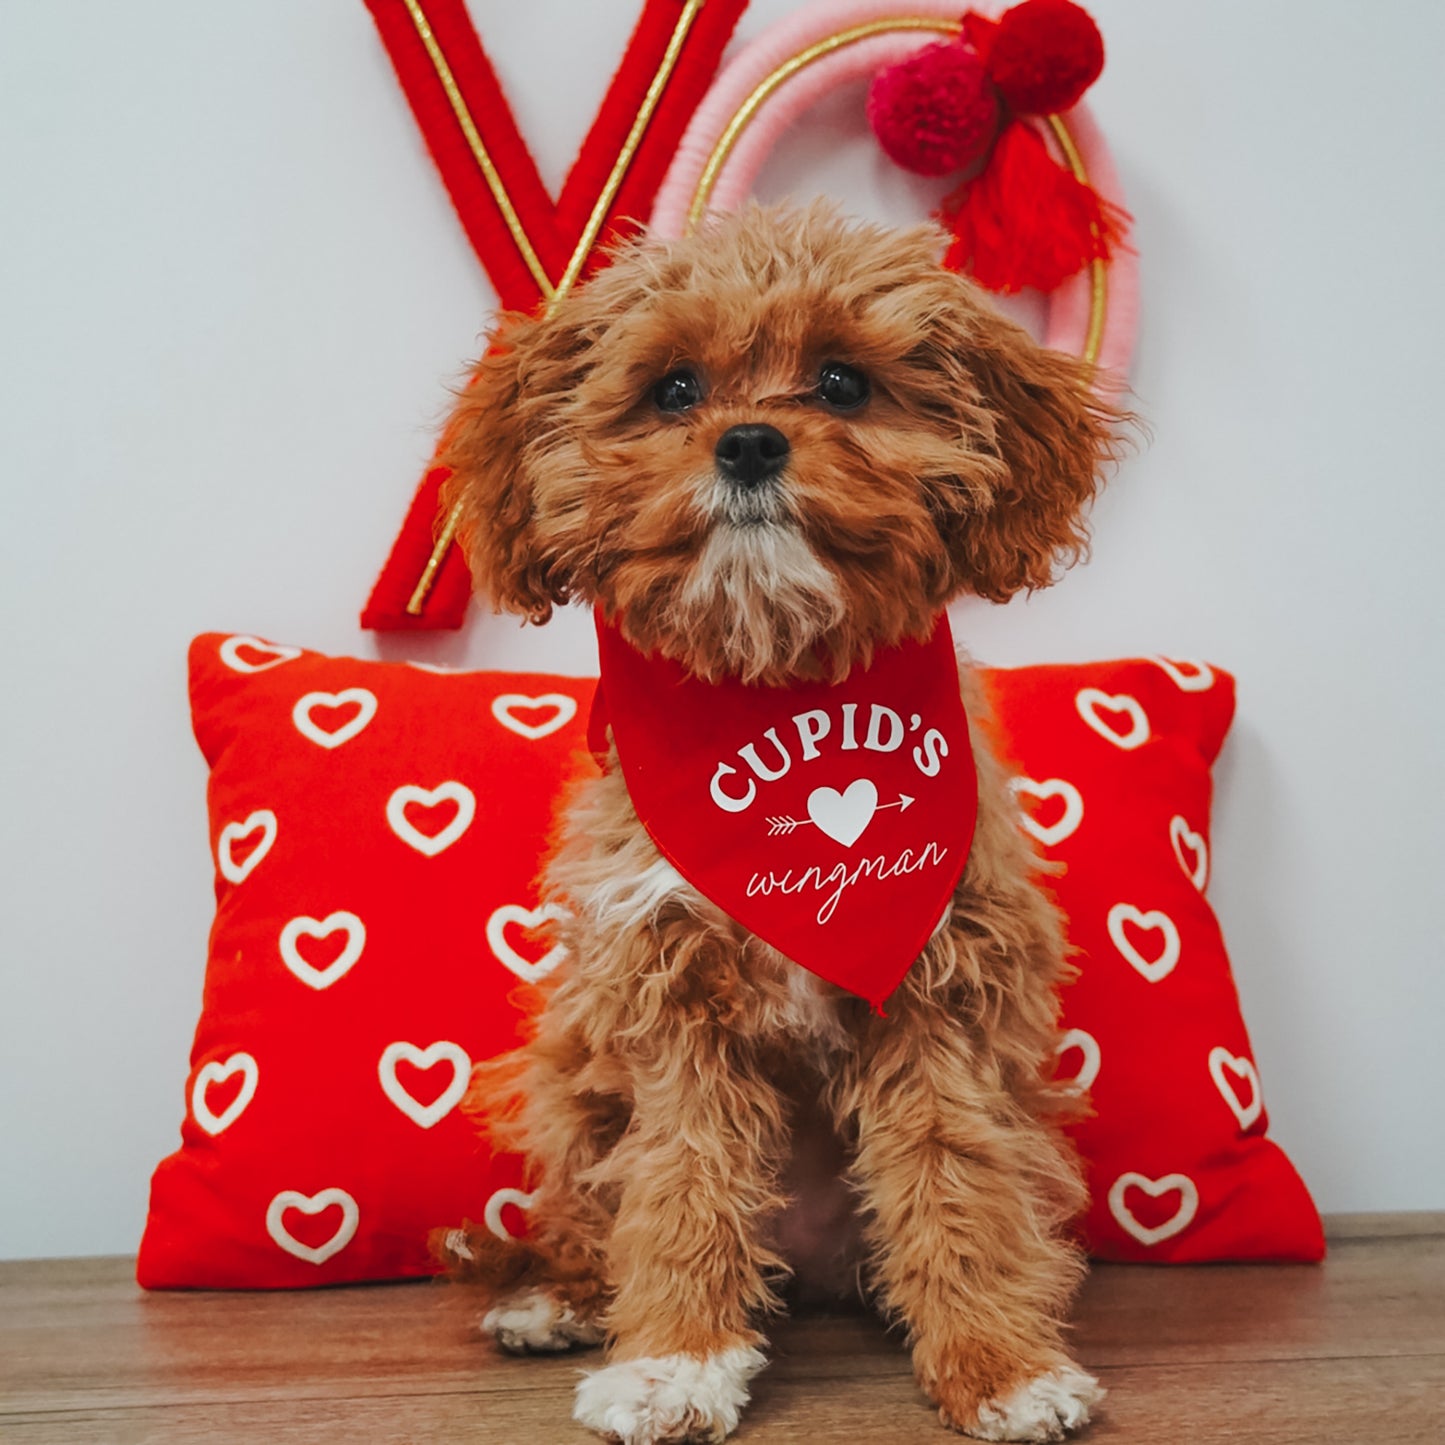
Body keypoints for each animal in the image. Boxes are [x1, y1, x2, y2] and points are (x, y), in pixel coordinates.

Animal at [433, 206, 1121, 1445]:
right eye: (672, 388)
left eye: (842, 382)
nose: (749, 443)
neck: (774, 686)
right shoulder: (669, 1003)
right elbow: (681, 1184)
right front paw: (673, 1362)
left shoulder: (941, 996)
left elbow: (957, 1182)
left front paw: (999, 1363)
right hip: (569, 1070)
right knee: (587, 1215)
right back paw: (558, 1296)